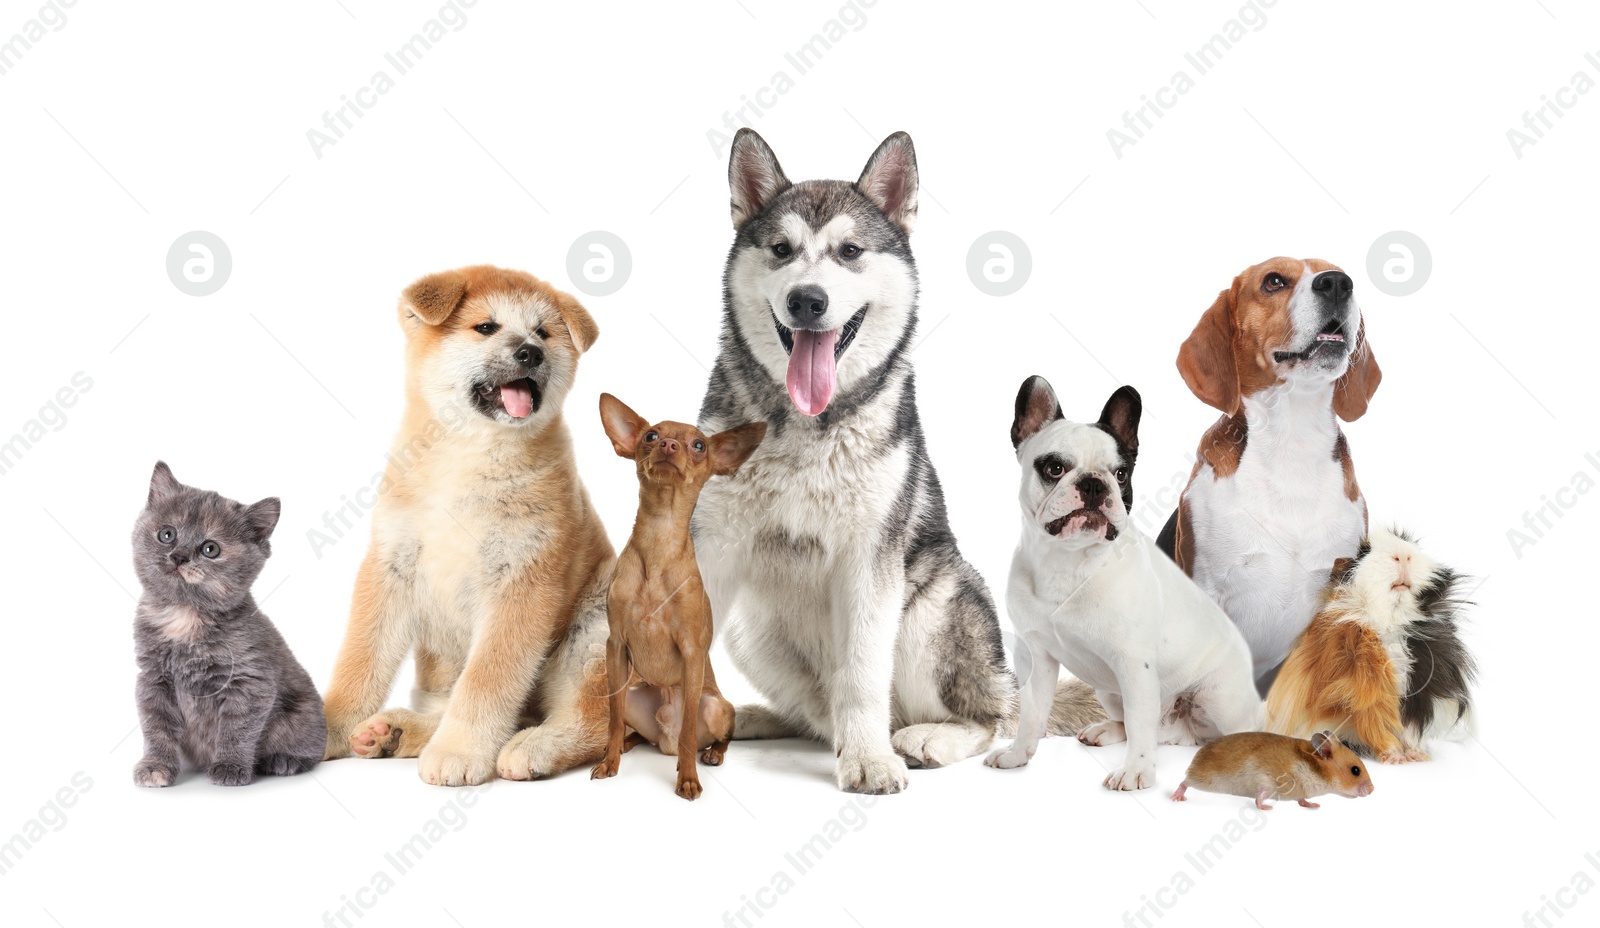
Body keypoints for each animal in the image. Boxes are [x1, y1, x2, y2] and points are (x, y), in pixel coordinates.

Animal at [131, 460, 324, 787]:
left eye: (211, 549)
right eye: (167, 534)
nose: (179, 556)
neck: (185, 614)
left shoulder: (250, 681)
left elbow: (237, 728)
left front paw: (230, 766)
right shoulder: (153, 679)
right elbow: (157, 727)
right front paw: (156, 765)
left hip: (302, 716)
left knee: (313, 748)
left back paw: (284, 760)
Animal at [592, 392, 764, 796]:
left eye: (699, 445)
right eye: (651, 436)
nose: (669, 445)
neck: (660, 537)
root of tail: (664, 742)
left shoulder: (691, 652)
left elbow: (688, 732)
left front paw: (688, 778)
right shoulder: (616, 646)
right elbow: (612, 718)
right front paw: (610, 760)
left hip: (716, 707)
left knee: (710, 736)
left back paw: (712, 754)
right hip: (634, 694)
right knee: (633, 725)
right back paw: (628, 743)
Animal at [1164, 729, 1376, 809]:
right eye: (1355, 770)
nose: (1373, 790)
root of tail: (1197, 755)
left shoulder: (1299, 792)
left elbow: (1302, 800)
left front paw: (1314, 805)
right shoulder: (1266, 778)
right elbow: (1261, 795)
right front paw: (1267, 808)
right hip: (1204, 779)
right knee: (1184, 782)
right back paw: (1176, 798)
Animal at [1267, 524, 1478, 764]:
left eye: (1411, 544)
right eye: (1365, 552)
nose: (1402, 556)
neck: (1390, 622)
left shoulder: (1422, 692)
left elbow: (1412, 730)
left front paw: (1419, 757)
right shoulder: (1363, 693)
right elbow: (1376, 726)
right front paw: (1396, 758)